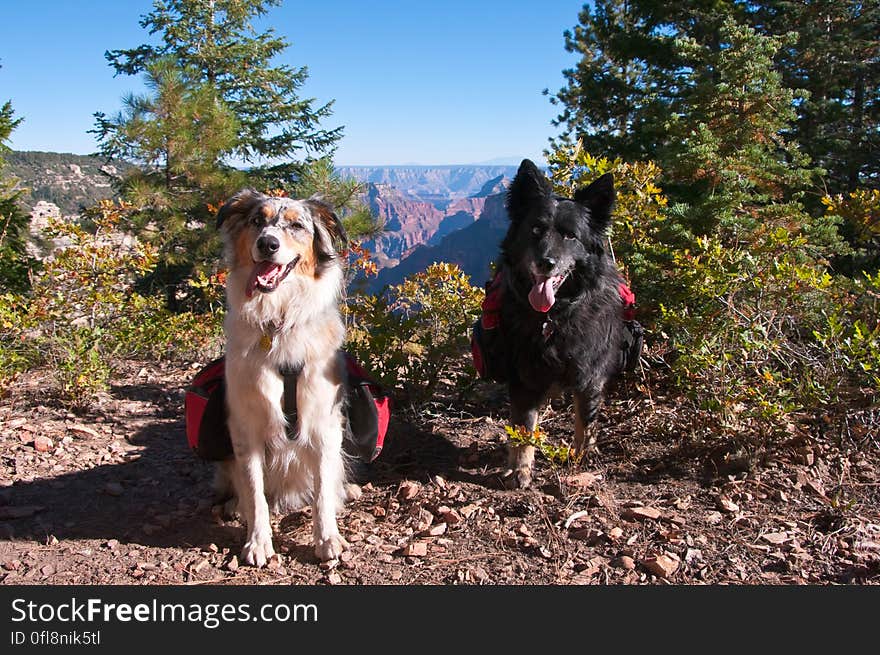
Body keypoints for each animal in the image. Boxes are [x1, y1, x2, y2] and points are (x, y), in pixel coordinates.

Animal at [217, 188, 354, 564]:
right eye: (256, 221)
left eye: (296, 225)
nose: (267, 244)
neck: (277, 323)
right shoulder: (244, 425)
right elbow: (254, 491)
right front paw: (258, 542)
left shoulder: (324, 421)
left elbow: (322, 491)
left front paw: (327, 538)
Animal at [496, 158, 624, 486]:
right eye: (535, 229)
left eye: (570, 236)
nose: (546, 262)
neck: (554, 316)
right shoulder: (525, 373)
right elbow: (525, 426)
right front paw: (521, 469)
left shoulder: (591, 372)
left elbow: (585, 419)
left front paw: (580, 457)